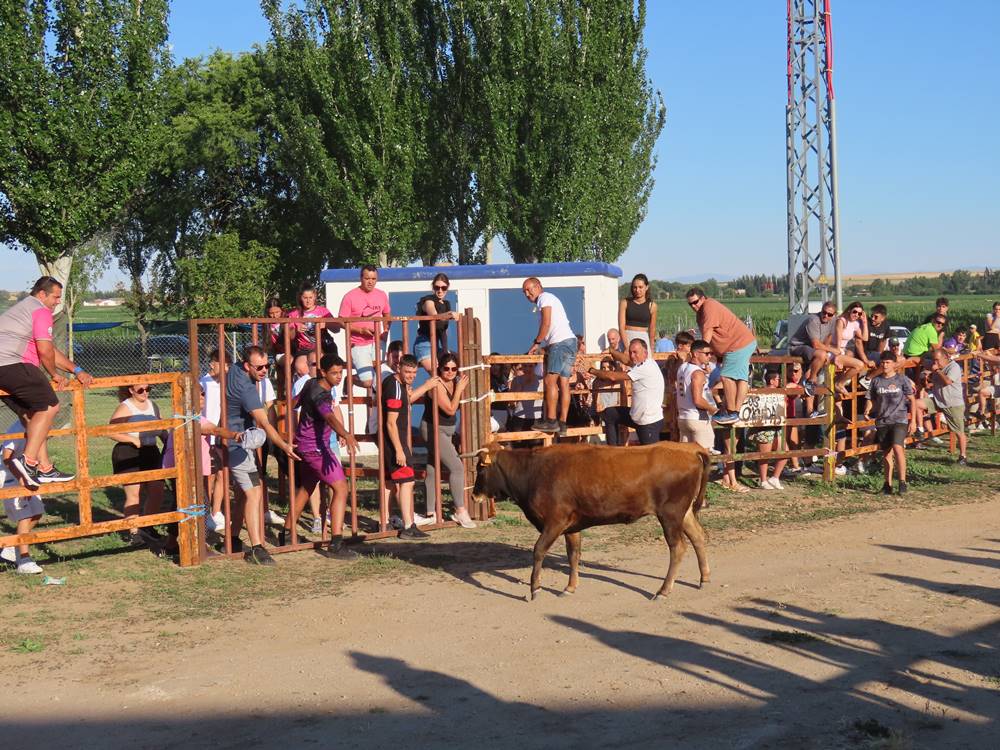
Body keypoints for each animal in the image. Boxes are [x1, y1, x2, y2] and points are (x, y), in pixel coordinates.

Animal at [470, 444, 712, 604]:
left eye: (481, 468)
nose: (474, 495)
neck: (532, 471)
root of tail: (688, 449)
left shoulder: (555, 521)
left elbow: (538, 550)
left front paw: (534, 588)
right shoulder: (571, 526)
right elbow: (573, 555)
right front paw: (569, 587)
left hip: (670, 514)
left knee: (678, 547)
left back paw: (663, 590)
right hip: (684, 513)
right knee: (698, 537)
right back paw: (704, 578)